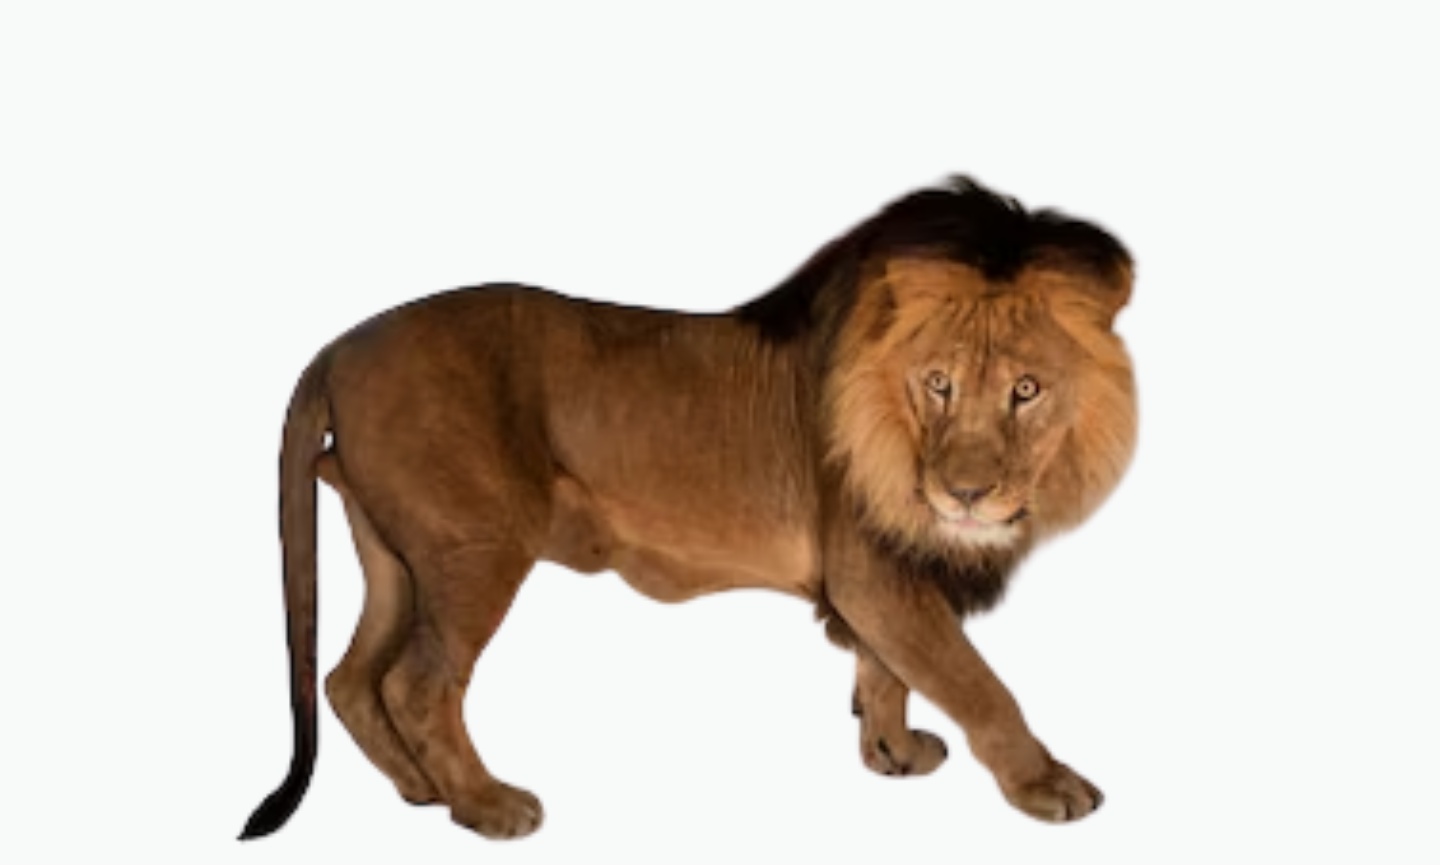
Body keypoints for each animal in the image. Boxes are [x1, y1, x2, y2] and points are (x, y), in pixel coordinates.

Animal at [240, 176, 1137, 841]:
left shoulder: (879, 574)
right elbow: (977, 682)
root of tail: (337, 345)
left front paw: (892, 751)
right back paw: (486, 806)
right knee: (418, 685)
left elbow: (887, 669)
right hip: (476, 549)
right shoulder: (874, 570)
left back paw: (421, 788)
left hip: (396, 556)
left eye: (1027, 389)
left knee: (350, 677)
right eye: (939, 382)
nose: (966, 493)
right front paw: (1046, 783)